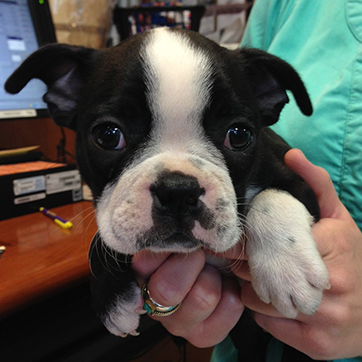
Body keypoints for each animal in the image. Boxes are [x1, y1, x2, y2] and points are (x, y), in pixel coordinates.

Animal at [5, 28, 330, 362]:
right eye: (108, 135)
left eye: (240, 135)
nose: (178, 190)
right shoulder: (113, 213)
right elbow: (106, 233)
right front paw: (109, 295)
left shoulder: (302, 182)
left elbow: (272, 197)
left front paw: (288, 269)